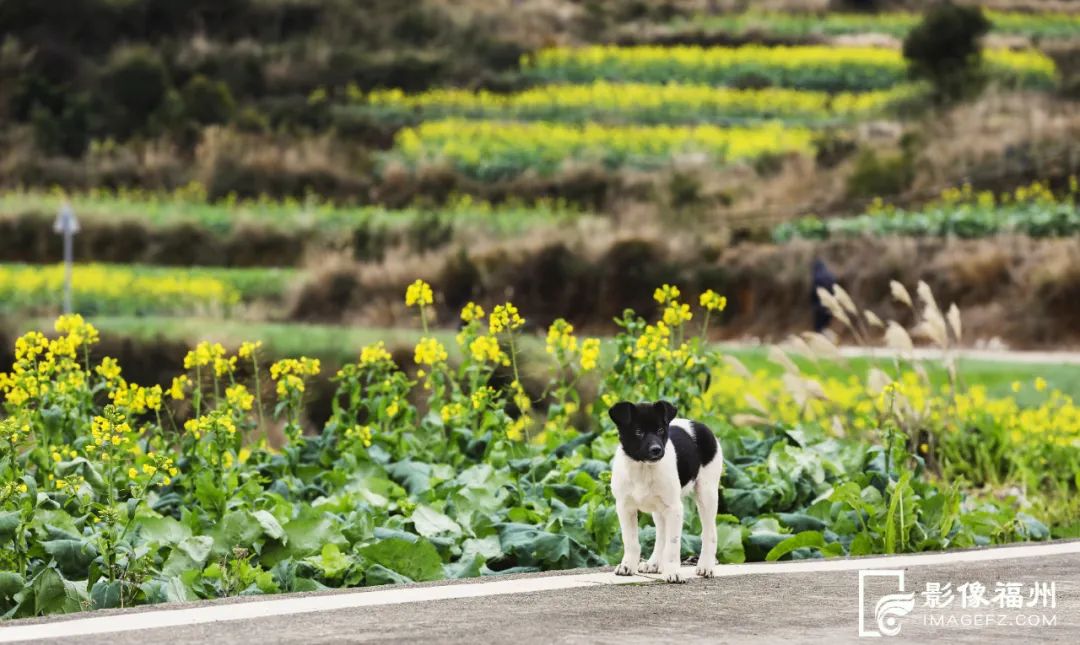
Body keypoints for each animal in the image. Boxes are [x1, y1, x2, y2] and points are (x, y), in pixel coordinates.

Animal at [613, 399, 721, 579]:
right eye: (638, 432)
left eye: (660, 430)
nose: (657, 450)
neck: (644, 469)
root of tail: (700, 425)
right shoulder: (624, 507)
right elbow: (630, 540)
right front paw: (627, 565)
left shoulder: (674, 509)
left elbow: (672, 545)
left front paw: (673, 573)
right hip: (659, 509)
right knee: (661, 534)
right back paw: (654, 563)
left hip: (707, 494)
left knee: (709, 532)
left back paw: (706, 566)